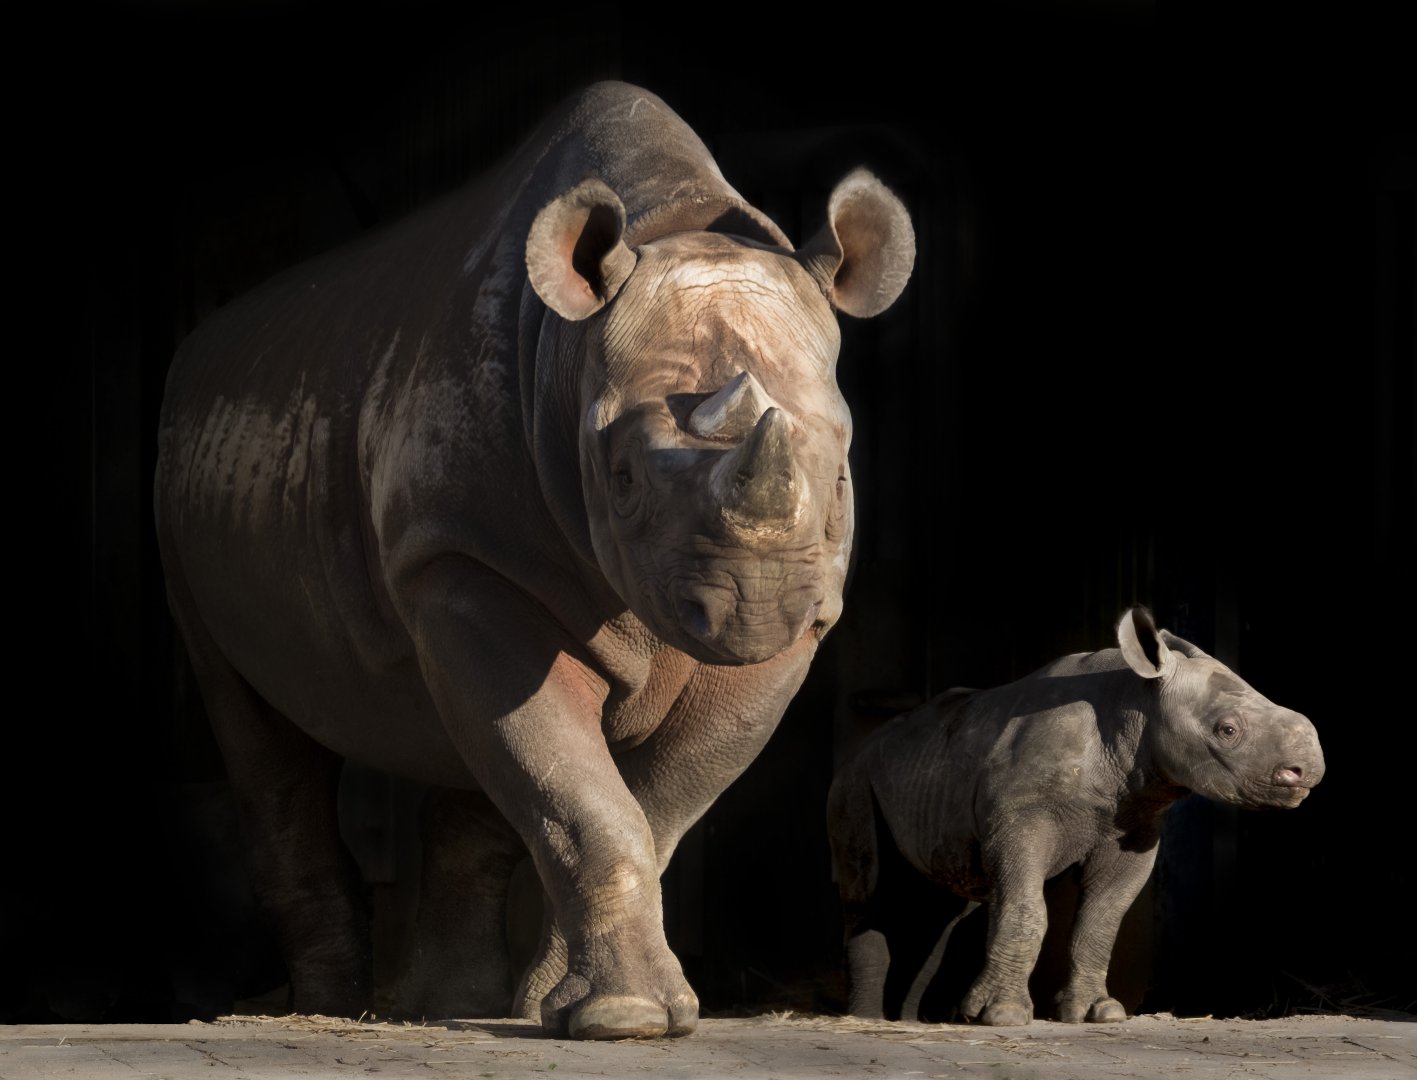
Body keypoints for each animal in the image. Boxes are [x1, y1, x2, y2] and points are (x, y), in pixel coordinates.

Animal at [154, 81, 914, 1039]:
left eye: (843, 473)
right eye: (621, 479)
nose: (756, 605)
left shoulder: (798, 621)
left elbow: (640, 803)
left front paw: (572, 1006)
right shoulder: (461, 556)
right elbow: (585, 795)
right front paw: (625, 1019)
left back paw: (454, 1007)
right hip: (197, 493)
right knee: (265, 740)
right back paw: (334, 1011)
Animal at [827, 606, 1324, 1026]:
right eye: (1228, 730)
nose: (1308, 771)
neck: (1134, 713)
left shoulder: (1133, 826)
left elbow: (1101, 919)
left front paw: (1097, 1013)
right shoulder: (1021, 817)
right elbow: (1027, 907)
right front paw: (1003, 1015)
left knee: (947, 900)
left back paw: (914, 1021)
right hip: (853, 780)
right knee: (867, 892)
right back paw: (868, 1020)